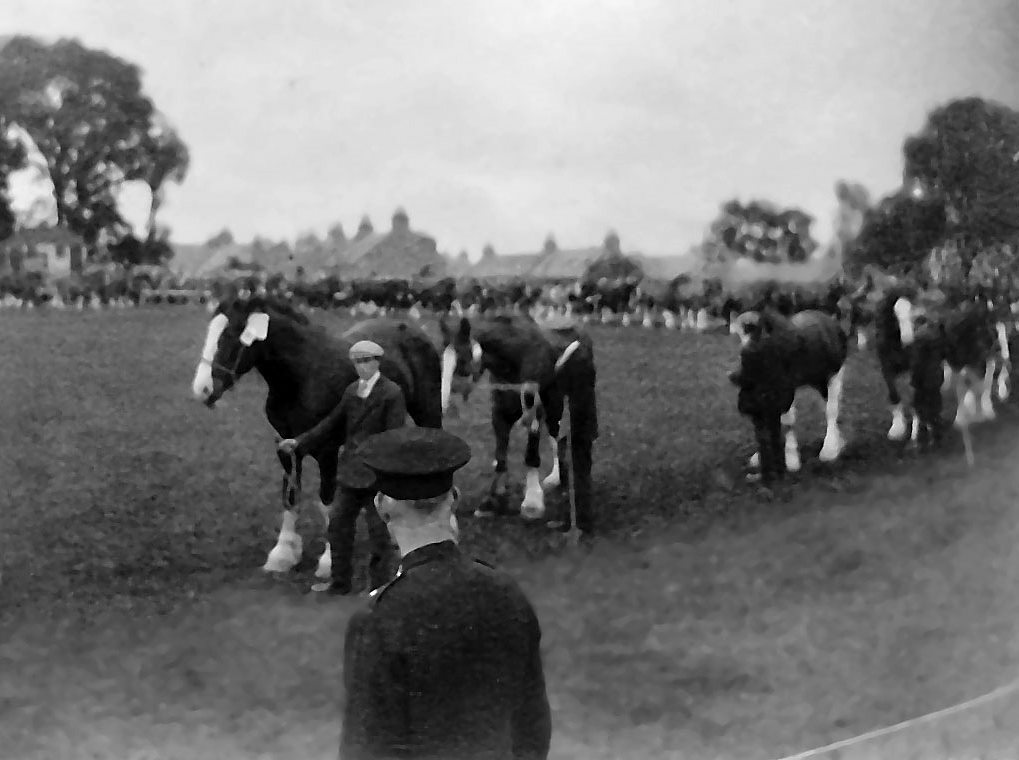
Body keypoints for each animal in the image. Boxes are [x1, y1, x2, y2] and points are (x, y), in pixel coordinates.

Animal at [191, 295, 442, 574]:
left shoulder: (327, 450)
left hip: (428, 411)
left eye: (232, 334)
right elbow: (291, 497)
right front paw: (283, 554)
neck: (301, 376)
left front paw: (328, 560)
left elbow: (327, 502)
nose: (202, 389)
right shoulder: (286, 447)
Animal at [438, 311, 595, 525]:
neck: (515, 361)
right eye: (442, 362)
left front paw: (532, 504)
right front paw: (491, 502)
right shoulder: (500, 415)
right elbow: (500, 457)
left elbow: (531, 455)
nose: (443, 404)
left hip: (558, 406)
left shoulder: (535, 413)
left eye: (461, 361)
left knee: (559, 437)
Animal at [729, 307, 847, 478]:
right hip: (819, 383)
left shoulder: (785, 390)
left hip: (834, 375)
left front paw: (793, 460)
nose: (736, 376)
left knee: (831, 409)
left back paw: (830, 447)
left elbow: (790, 420)